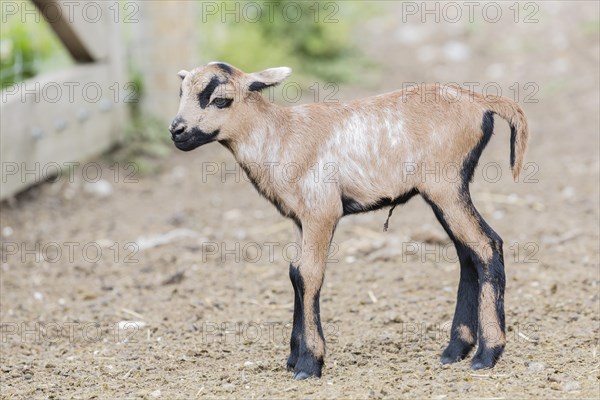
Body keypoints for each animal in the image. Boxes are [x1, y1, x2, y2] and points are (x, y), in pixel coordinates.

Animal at [169, 61, 528, 380]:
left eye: (220, 99)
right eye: (181, 92)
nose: (177, 131)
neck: (280, 136)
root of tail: (479, 100)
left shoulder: (322, 211)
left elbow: (308, 274)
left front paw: (309, 364)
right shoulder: (302, 219)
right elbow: (294, 272)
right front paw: (293, 357)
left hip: (446, 186)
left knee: (486, 245)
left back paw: (486, 354)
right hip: (443, 192)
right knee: (468, 254)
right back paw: (455, 349)